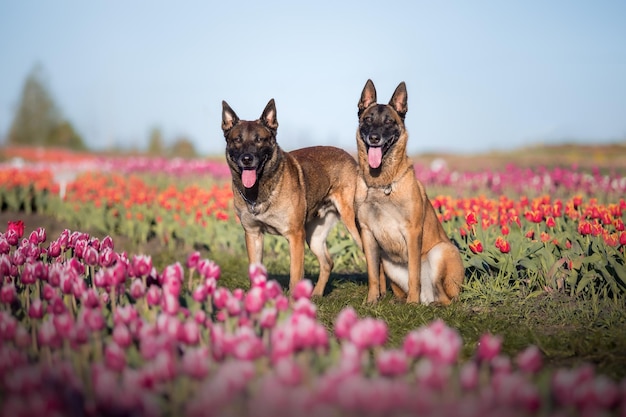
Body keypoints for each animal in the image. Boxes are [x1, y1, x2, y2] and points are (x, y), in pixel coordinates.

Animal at [223, 98, 360, 296]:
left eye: (259, 140)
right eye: (237, 140)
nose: (247, 159)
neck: (260, 190)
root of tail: (351, 158)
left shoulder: (295, 236)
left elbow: (295, 276)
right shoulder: (253, 235)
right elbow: (255, 273)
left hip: (353, 225)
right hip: (314, 237)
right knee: (328, 262)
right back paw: (316, 294)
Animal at [352, 79, 464, 304]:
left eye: (389, 122)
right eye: (368, 119)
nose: (374, 138)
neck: (381, 183)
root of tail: (428, 296)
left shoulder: (412, 232)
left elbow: (414, 272)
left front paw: (412, 303)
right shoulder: (368, 234)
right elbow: (373, 274)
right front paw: (372, 300)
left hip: (441, 251)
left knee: (445, 298)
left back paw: (424, 303)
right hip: (389, 264)